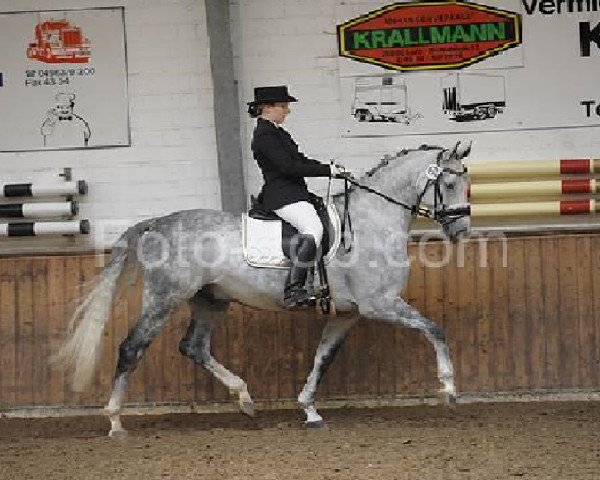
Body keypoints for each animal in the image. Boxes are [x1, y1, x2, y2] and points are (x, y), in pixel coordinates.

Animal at [54, 142, 472, 436]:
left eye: (467, 183)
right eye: (450, 183)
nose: (462, 231)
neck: (371, 220)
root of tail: (158, 222)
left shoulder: (348, 314)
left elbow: (322, 358)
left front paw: (309, 410)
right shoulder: (380, 303)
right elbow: (435, 329)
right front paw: (449, 390)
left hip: (210, 301)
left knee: (194, 347)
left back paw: (245, 399)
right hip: (164, 298)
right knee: (131, 348)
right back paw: (115, 422)